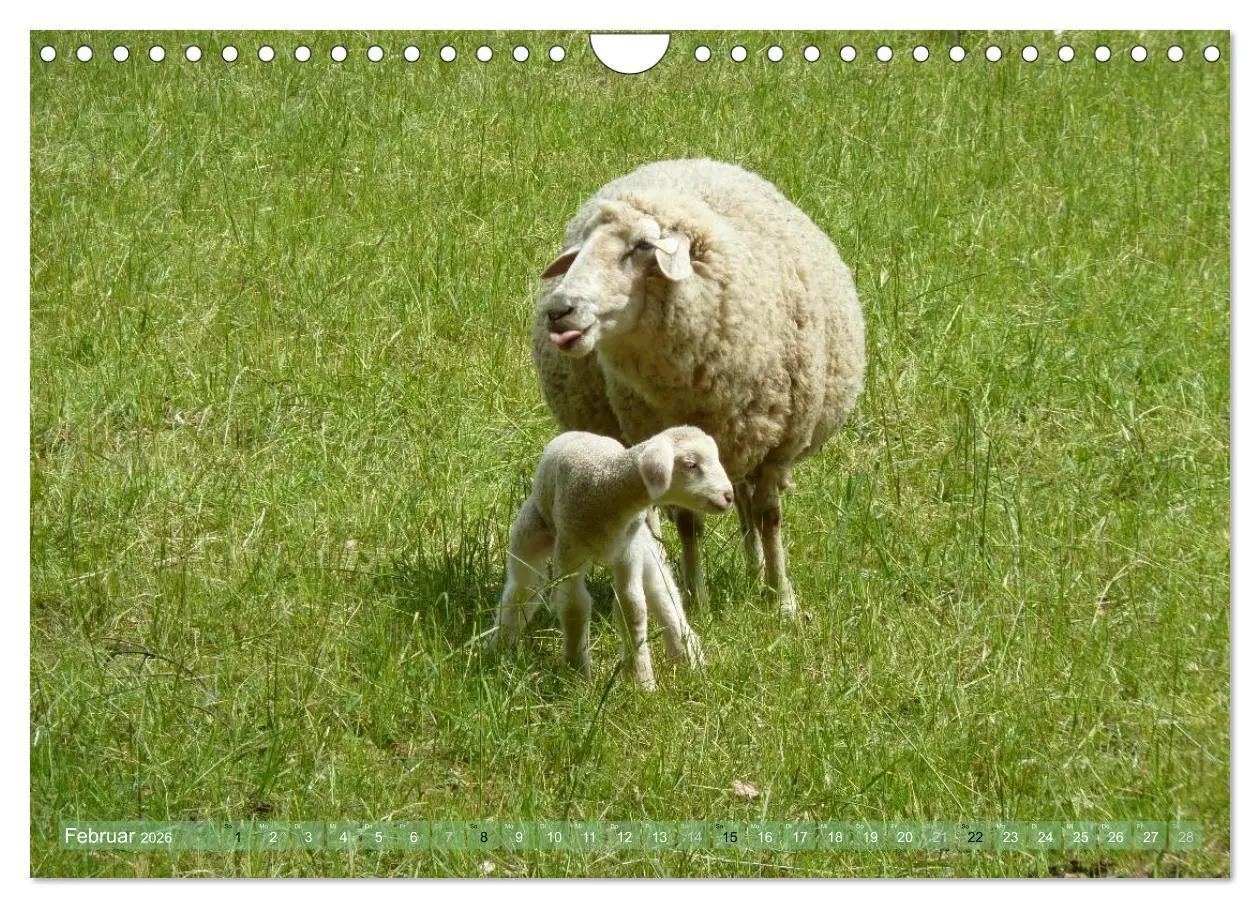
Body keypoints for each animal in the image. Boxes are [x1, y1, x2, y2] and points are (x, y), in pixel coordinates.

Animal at [487, 426, 734, 690]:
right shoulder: (569, 549)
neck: (605, 484)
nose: (729, 496)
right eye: (691, 465)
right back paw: (497, 648)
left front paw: (641, 680)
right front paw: (577, 674)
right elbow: (574, 606)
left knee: (662, 590)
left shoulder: (628, 551)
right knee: (522, 589)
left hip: (645, 546)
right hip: (532, 529)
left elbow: (632, 607)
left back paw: (686, 655)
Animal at [531, 158, 866, 618]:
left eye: (641, 246)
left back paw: (755, 569)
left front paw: (781, 599)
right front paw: (695, 598)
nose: (558, 310)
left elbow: (769, 516)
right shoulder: (668, 441)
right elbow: (689, 523)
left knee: (745, 504)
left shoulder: (777, 447)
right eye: (580, 248)